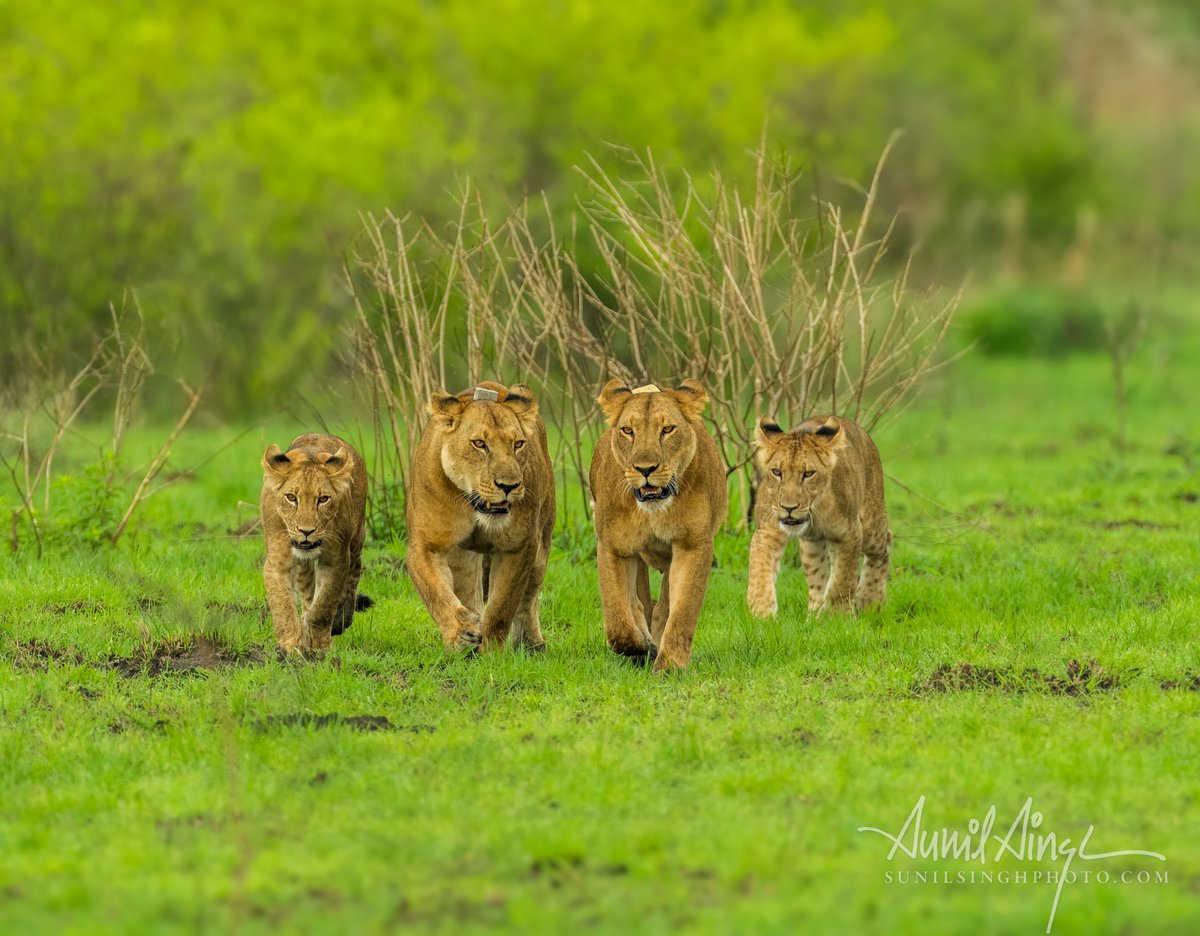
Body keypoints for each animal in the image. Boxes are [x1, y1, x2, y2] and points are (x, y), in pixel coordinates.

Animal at [260, 433, 371, 652]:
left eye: (323, 499)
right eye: (291, 497)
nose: (306, 531)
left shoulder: (336, 560)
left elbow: (324, 606)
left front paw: (320, 646)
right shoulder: (277, 562)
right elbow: (282, 605)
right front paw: (290, 647)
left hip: (357, 537)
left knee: (353, 574)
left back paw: (341, 620)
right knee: (308, 591)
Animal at [405, 382, 555, 652]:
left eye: (518, 444)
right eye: (479, 444)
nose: (509, 485)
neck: (473, 507)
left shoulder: (518, 548)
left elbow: (501, 608)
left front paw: (491, 652)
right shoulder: (426, 545)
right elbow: (437, 593)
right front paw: (462, 633)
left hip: (542, 547)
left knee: (529, 598)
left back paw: (531, 644)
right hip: (462, 557)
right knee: (467, 589)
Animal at [589, 379, 726, 672]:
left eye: (667, 429)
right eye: (628, 431)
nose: (645, 469)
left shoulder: (693, 545)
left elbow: (683, 610)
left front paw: (670, 665)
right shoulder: (613, 547)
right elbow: (618, 620)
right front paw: (641, 647)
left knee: (663, 605)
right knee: (637, 600)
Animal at [746, 415, 890, 617]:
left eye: (808, 473)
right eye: (776, 472)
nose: (788, 507)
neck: (815, 510)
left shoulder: (850, 534)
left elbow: (842, 581)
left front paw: (838, 616)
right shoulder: (768, 531)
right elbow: (759, 571)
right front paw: (761, 613)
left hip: (871, 527)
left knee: (885, 545)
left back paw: (870, 600)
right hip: (812, 544)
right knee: (817, 580)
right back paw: (814, 615)